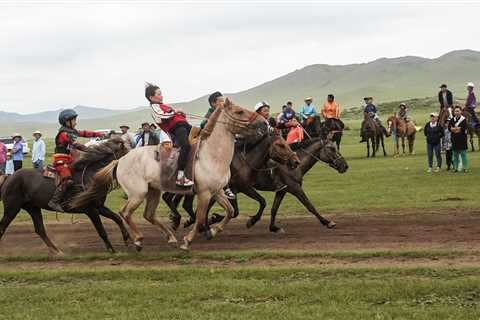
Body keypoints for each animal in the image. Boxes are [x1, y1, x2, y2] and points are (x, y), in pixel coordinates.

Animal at [0, 137, 131, 255]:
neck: (91, 176)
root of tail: (8, 178)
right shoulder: (91, 210)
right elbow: (102, 230)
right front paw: (111, 250)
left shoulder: (99, 207)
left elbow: (117, 218)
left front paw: (127, 238)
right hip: (12, 208)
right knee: (3, 227)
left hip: (33, 208)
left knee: (40, 230)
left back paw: (57, 251)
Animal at [71, 99, 266, 251]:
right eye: (239, 111)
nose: (264, 122)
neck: (211, 154)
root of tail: (121, 160)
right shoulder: (204, 193)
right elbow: (200, 218)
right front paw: (187, 241)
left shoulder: (217, 191)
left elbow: (230, 211)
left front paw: (213, 231)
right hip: (138, 193)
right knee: (125, 212)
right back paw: (139, 240)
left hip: (154, 191)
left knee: (148, 214)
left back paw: (170, 237)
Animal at [165, 127, 300, 230]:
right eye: (280, 145)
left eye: (285, 143)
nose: (296, 161)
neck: (245, 161)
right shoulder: (244, 187)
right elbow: (262, 201)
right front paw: (251, 221)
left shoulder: (234, 190)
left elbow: (235, 211)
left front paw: (213, 219)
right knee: (179, 201)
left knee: (178, 201)